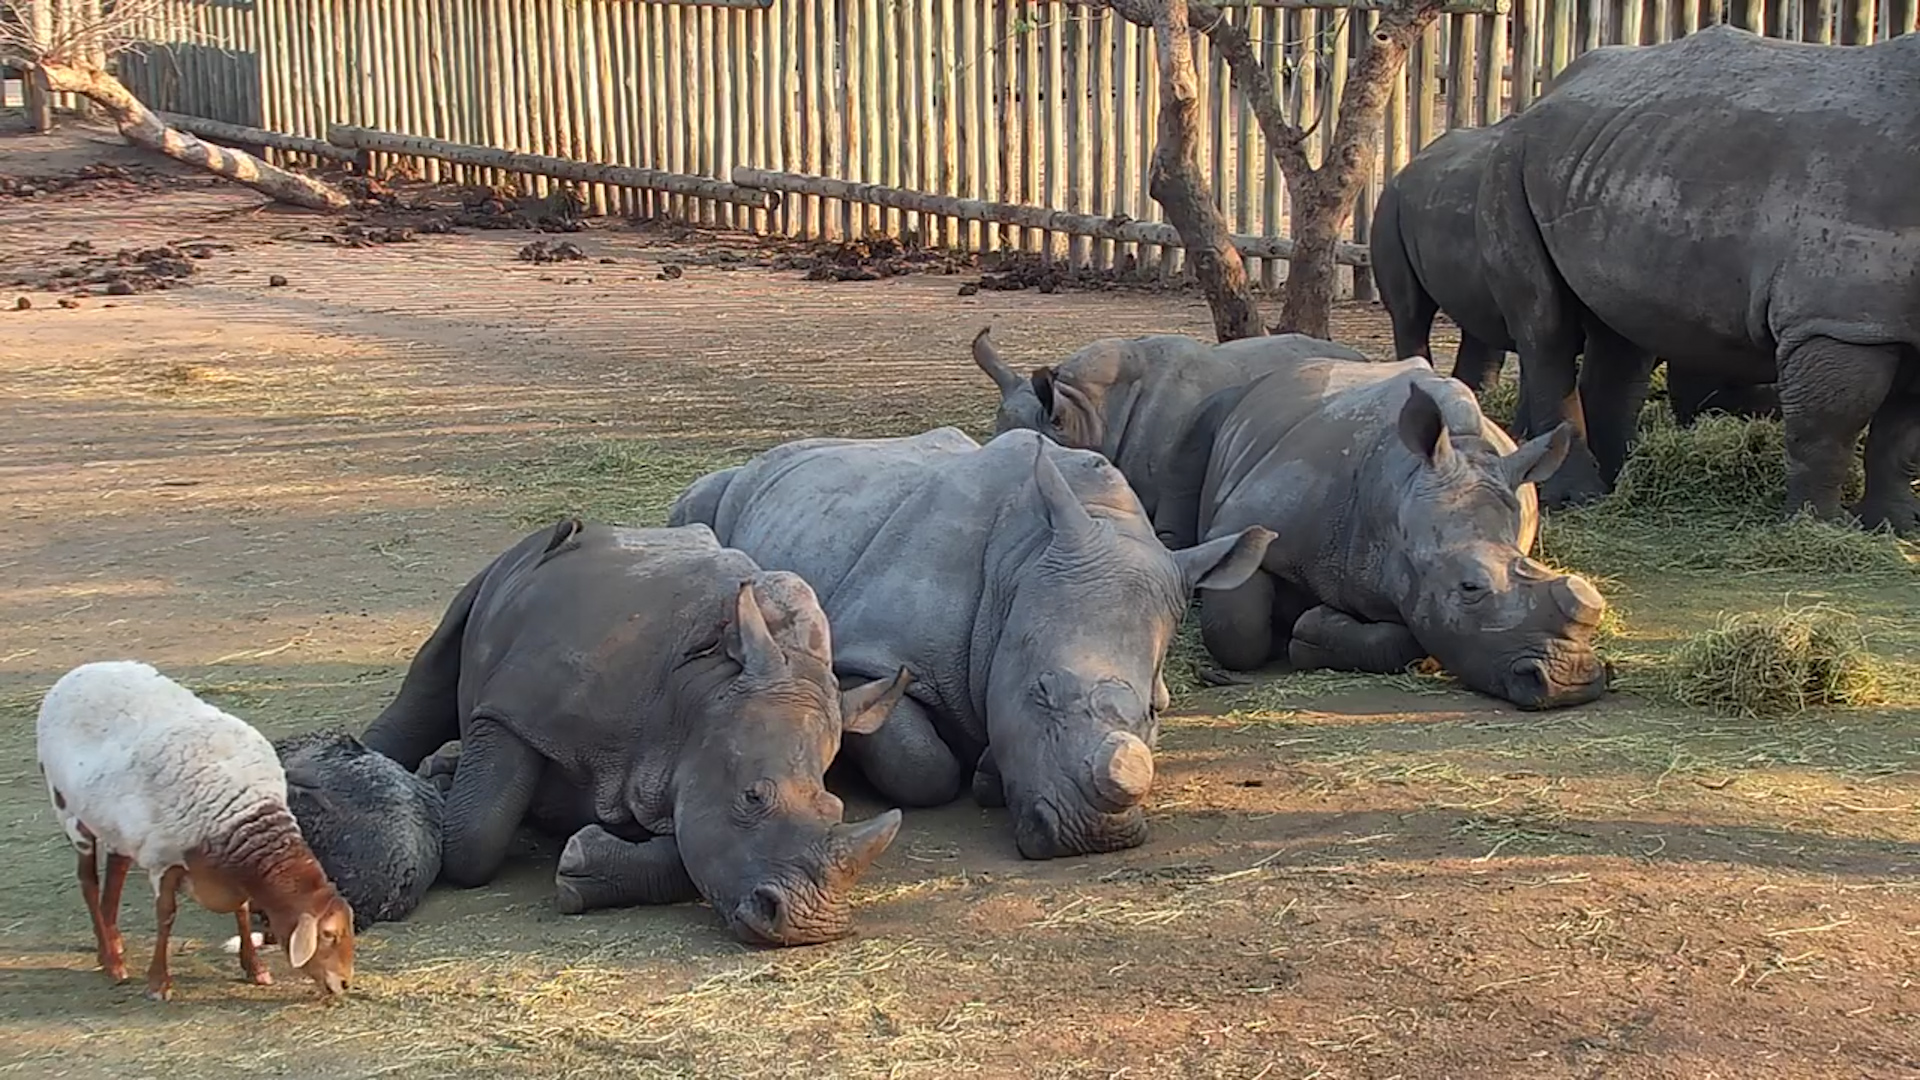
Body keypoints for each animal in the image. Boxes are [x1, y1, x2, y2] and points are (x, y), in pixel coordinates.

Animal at [35, 659, 356, 1002]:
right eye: (328, 934)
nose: (344, 983)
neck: (241, 817)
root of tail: (83, 670)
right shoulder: (163, 860)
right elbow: (166, 915)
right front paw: (159, 983)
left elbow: (242, 910)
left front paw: (255, 969)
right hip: (67, 808)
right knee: (89, 882)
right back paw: (112, 961)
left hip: (117, 827)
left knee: (115, 877)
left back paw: (114, 945)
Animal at [358, 519, 913, 947]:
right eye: (752, 797)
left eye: (837, 809)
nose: (809, 925)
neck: (701, 691)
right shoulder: (514, 710)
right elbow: (475, 835)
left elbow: (690, 853)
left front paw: (580, 863)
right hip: (511, 562)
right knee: (433, 672)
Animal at [668, 427, 1274, 860]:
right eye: (1042, 690)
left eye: (1156, 711)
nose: (1094, 837)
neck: (1022, 562)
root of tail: (766, 456)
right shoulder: (866, 658)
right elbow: (922, 765)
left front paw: (988, 771)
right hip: (720, 494)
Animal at [1164, 355, 1611, 711]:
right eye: (1469, 588)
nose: (1569, 681)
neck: (1397, 496)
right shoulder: (1247, 520)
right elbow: (1236, 629)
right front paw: (1282, 633)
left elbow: (1414, 637)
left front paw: (1310, 629)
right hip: (1234, 400)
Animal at [1475, 26, 1920, 529]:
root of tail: (1542, 96)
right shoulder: (1837, 320)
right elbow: (1829, 427)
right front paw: (1818, 526)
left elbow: (1902, 439)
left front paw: (1896, 525)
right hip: (1510, 162)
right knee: (1546, 327)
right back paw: (1578, 497)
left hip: (1611, 158)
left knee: (1622, 333)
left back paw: (1620, 483)